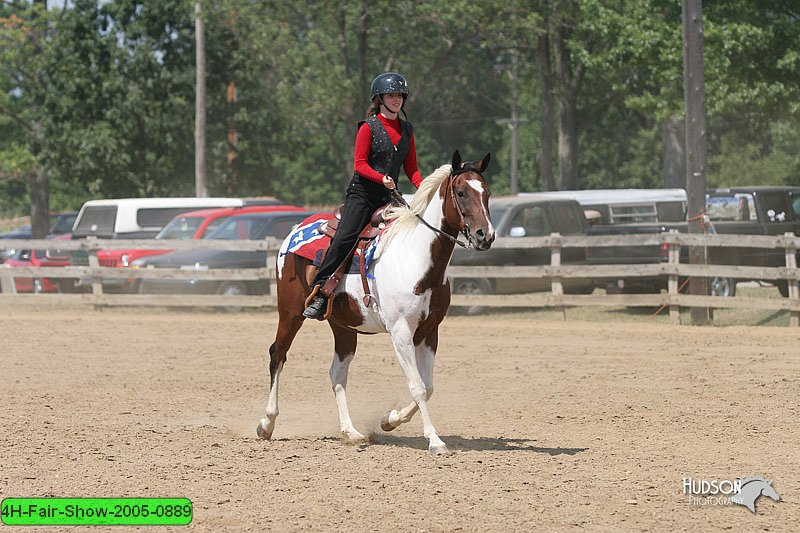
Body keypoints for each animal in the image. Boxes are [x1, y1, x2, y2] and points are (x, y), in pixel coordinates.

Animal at [256, 150, 494, 454]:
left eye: (487, 193)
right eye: (461, 192)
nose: (485, 235)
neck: (415, 257)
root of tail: (295, 230)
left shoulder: (429, 332)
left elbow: (427, 387)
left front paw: (389, 420)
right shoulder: (401, 332)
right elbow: (418, 387)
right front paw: (435, 440)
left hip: (343, 326)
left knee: (337, 374)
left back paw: (350, 432)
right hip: (290, 312)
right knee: (278, 354)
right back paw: (267, 423)